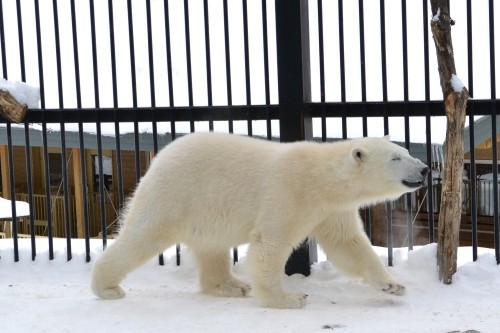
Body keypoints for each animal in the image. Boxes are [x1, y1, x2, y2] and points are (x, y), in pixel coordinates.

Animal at [92, 131, 428, 308]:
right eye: (396, 158)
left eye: (405, 150)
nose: (424, 169)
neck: (320, 179)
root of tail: (159, 158)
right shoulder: (288, 191)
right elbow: (271, 243)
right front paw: (289, 297)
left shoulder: (331, 209)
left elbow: (349, 245)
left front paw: (392, 285)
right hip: (176, 193)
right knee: (143, 235)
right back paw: (106, 287)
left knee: (211, 248)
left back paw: (231, 286)